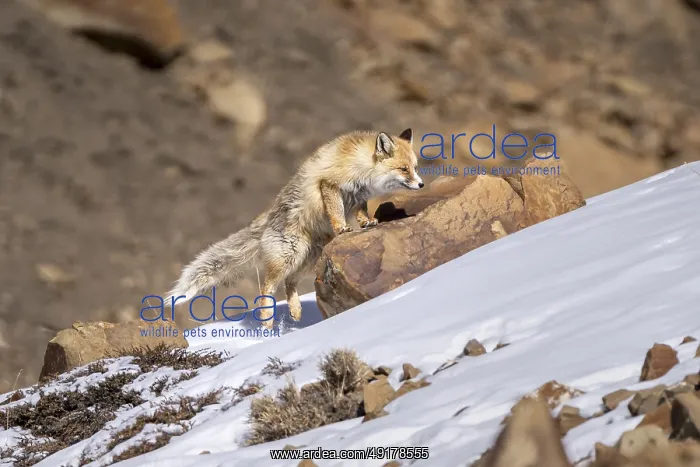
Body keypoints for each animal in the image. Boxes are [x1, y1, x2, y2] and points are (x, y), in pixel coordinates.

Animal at [163, 128, 424, 328]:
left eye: (415, 167)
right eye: (403, 169)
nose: (421, 184)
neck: (362, 164)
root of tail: (266, 219)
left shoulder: (358, 196)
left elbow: (361, 213)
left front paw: (366, 223)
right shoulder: (330, 185)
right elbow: (336, 212)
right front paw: (342, 228)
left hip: (310, 257)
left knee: (289, 283)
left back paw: (296, 311)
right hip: (289, 255)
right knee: (267, 286)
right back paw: (267, 322)